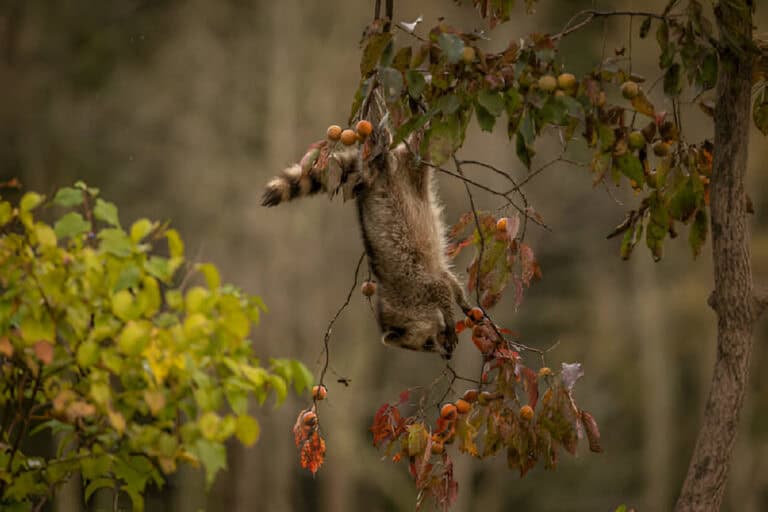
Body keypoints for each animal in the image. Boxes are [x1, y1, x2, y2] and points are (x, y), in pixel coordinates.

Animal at [262, 122, 468, 358]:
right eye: (427, 345)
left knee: (416, 141)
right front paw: (462, 301)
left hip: (394, 166)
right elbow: (447, 280)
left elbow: (441, 288)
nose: (446, 356)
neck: (401, 306)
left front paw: (451, 318)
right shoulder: (423, 280)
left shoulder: (416, 285)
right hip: (411, 171)